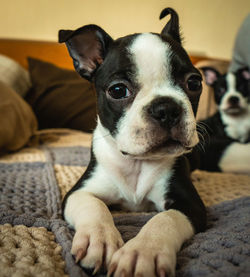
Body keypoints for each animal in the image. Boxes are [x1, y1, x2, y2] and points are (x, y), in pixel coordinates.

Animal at [59, 7, 206, 274]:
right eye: (118, 90)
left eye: (194, 83)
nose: (166, 108)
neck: (137, 162)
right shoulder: (78, 192)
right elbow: (94, 207)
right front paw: (99, 239)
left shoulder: (191, 205)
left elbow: (164, 218)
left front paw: (142, 252)